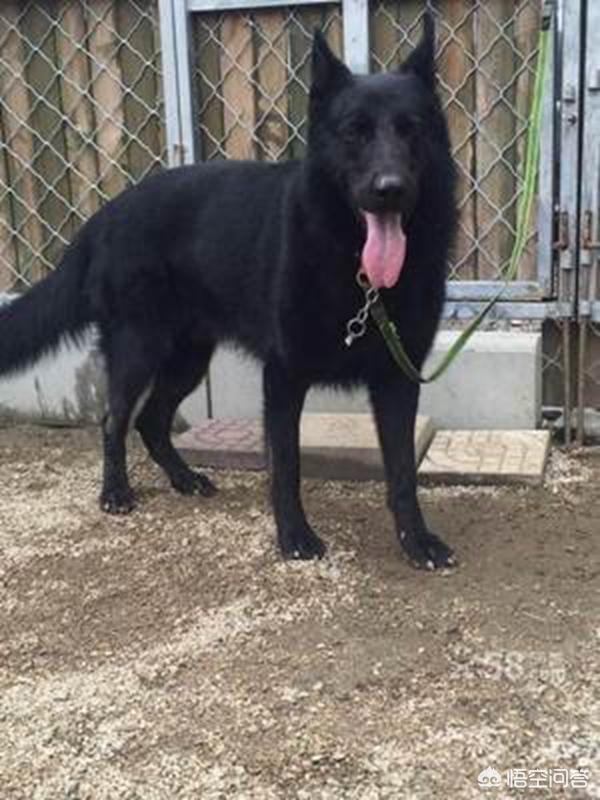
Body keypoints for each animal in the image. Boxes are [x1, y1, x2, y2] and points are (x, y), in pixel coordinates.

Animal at [0, 15, 457, 569]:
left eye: (411, 129)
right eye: (355, 132)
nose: (389, 189)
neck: (356, 270)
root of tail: (105, 215)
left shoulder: (397, 380)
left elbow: (403, 473)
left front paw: (416, 540)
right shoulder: (283, 378)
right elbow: (287, 466)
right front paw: (294, 536)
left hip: (188, 357)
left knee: (151, 420)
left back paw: (184, 479)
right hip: (138, 348)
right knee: (115, 418)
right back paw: (115, 492)